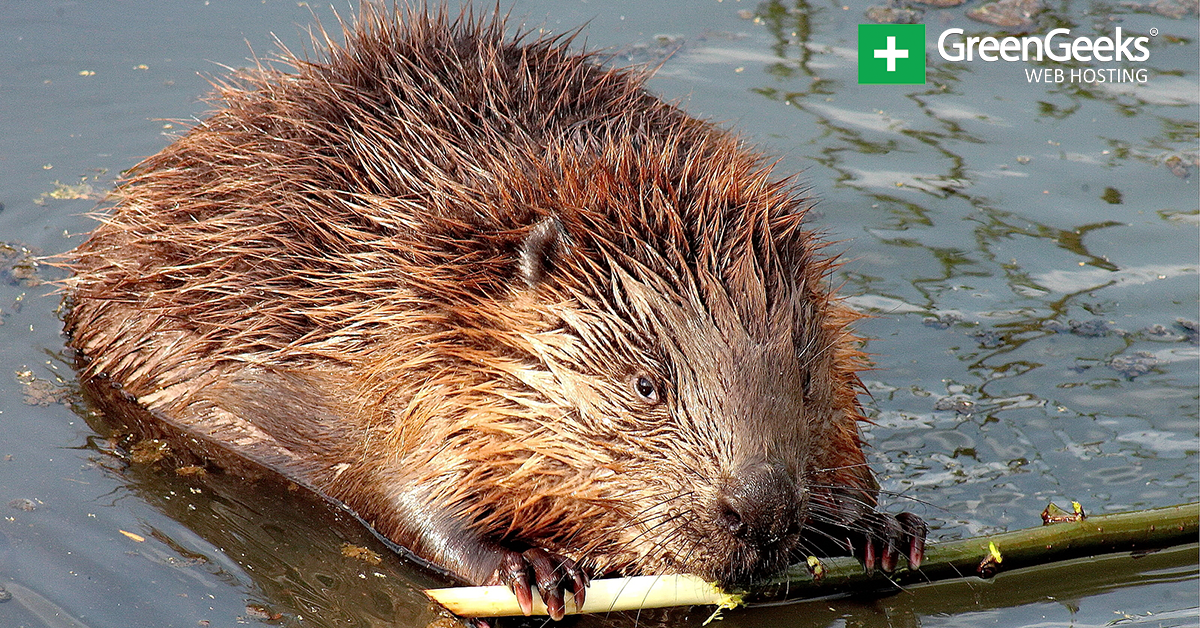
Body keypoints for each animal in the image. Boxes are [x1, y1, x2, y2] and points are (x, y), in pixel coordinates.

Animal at [63, 3, 926, 624]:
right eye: (647, 385)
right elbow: (403, 491)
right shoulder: (395, 341)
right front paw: (535, 570)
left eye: (804, 376)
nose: (761, 509)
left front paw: (882, 532)